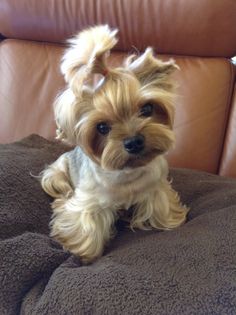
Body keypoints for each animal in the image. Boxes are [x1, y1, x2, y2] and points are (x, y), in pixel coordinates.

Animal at [40, 25, 188, 264]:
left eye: (147, 109)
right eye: (102, 127)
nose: (134, 141)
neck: (127, 173)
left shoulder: (156, 185)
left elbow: (161, 204)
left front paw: (171, 221)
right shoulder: (89, 200)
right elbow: (86, 222)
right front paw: (81, 253)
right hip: (55, 175)